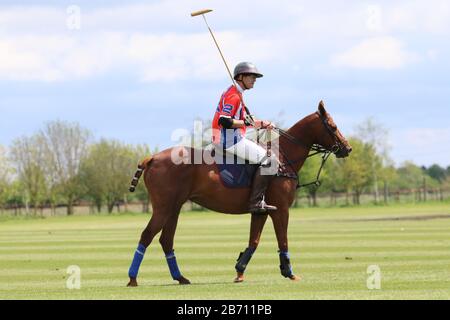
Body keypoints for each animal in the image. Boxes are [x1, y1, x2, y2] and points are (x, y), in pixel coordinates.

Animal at [126, 101, 352, 286]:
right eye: (333, 126)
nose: (347, 148)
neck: (283, 157)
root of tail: (152, 158)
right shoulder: (281, 209)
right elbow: (283, 240)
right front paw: (289, 272)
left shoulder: (261, 210)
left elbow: (254, 241)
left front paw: (239, 271)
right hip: (163, 207)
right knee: (147, 235)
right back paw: (133, 279)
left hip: (175, 208)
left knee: (166, 240)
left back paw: (180, 277)